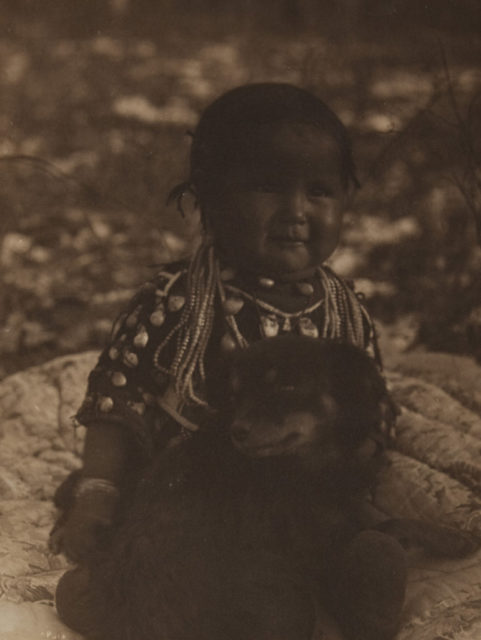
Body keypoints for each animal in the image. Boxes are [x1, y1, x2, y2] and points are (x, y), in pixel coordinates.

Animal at [77, 338, 474, 636]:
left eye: (286, 385)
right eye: (236, 396)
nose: (238, 431)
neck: (301, 462)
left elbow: (377, 514)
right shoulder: (322, 546)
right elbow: (392, 523)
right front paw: (457, 538)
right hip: (287, 596)